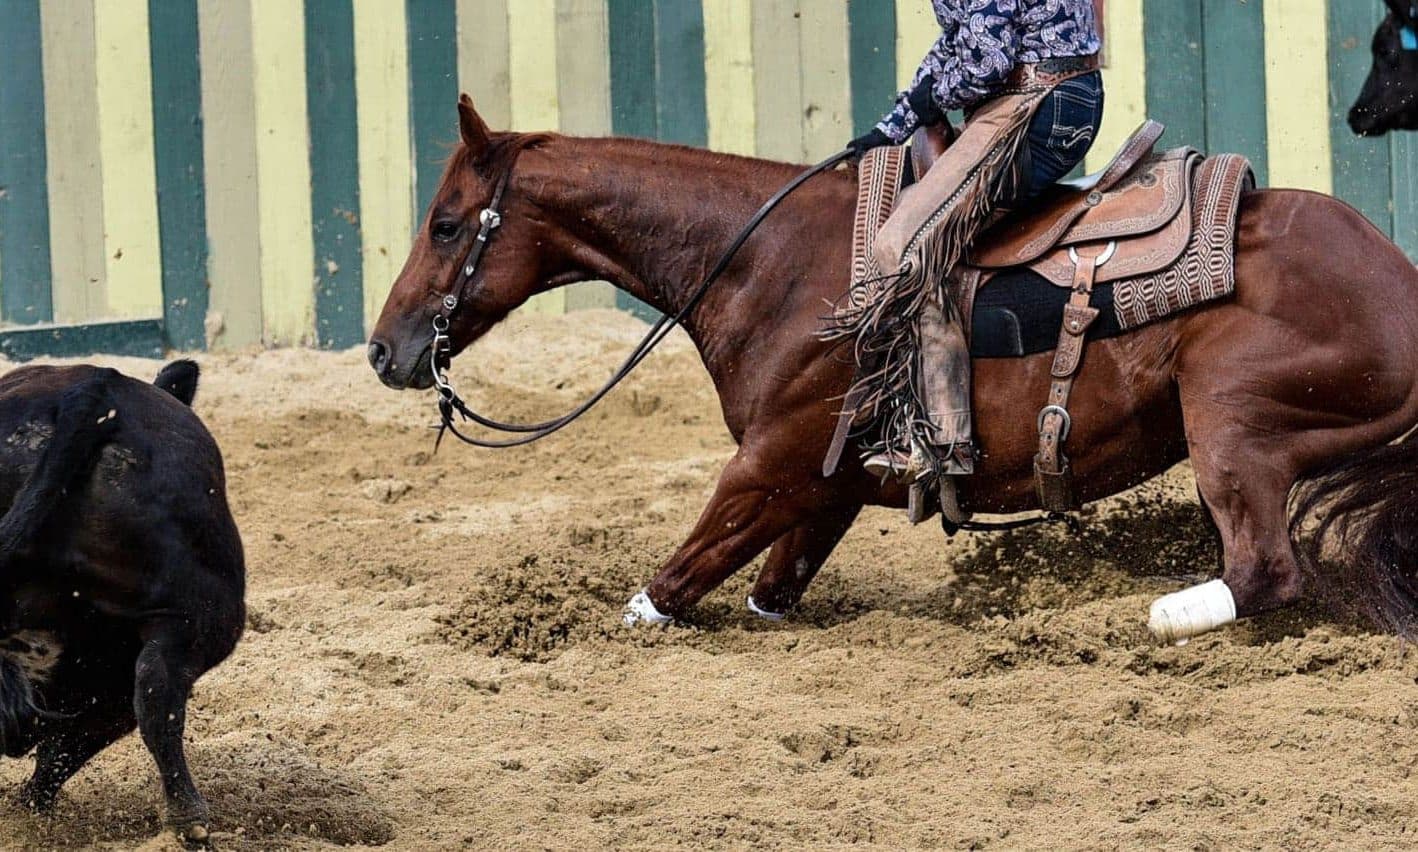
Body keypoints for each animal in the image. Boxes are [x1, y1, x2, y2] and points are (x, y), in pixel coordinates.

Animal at [369, 95, 1418, 642]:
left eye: (447, 224)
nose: (385, 350)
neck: (770, 263)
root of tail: (1397, 276)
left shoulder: (768, 467)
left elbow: (662, 590)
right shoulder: (824, 487)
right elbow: (767, 594)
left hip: (1230, 422)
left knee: (1265, 568)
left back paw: (1139, 616)